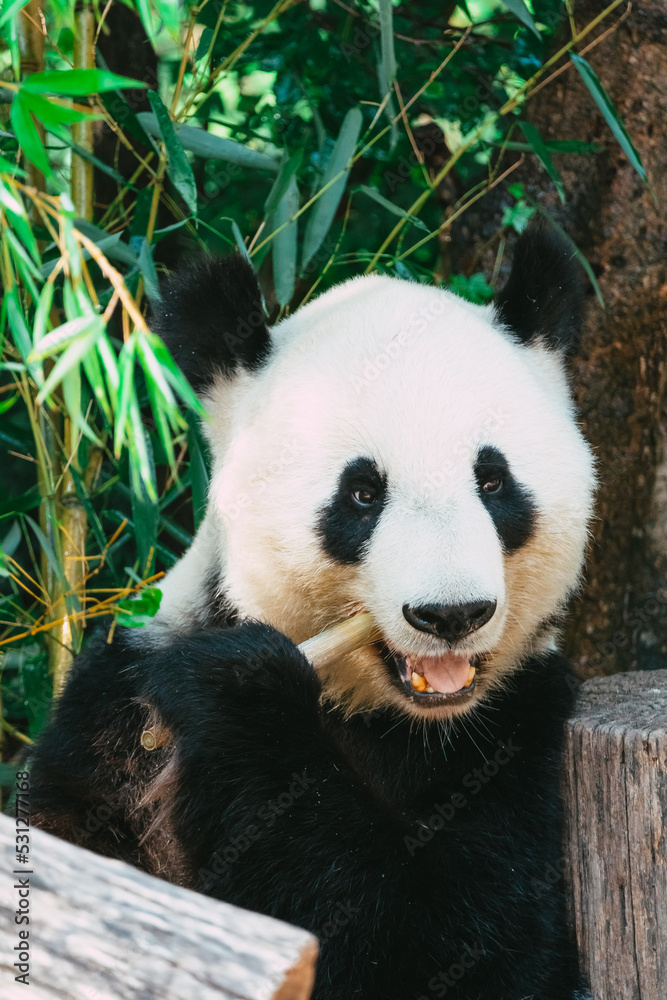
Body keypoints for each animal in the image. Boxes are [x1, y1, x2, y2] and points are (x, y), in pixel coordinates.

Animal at [28, 225, 595, 1000]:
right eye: (361, 494)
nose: (451, 614)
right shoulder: (110, 718)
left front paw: (239, 693)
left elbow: (460, 948)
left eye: (492, 481)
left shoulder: (523, 733)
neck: (388, 715)